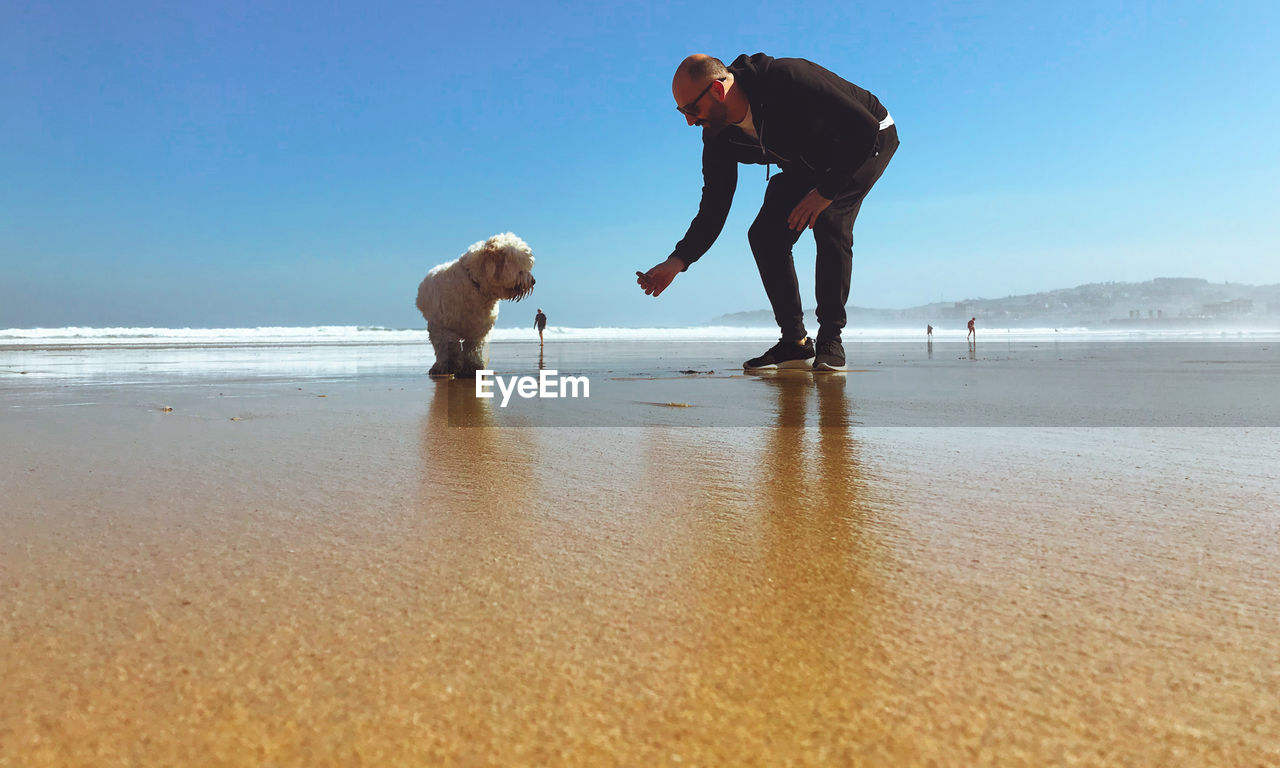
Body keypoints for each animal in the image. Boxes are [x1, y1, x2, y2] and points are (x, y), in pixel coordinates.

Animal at [414, 232, 535, 378]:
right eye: (520, 267)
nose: (533, 281)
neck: (476, 286)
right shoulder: (442, 327)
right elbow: (447, 347)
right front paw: (446, 366)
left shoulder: (478, 329)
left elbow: (473, 349)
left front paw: (472, 367)